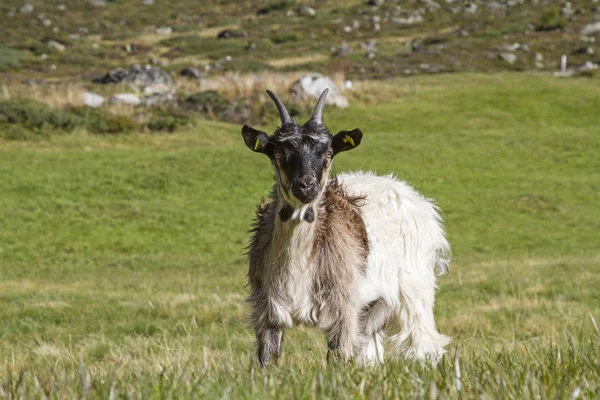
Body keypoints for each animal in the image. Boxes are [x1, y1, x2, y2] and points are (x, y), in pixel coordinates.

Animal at [241, 90, 448, 366]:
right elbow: (268, 359)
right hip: (373, 307)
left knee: (423, 342)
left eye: (328, 154)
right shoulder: (266, 310)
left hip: (415, 290)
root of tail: (421, 203)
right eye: (278, 155)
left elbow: (339, 357)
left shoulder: (344, 306)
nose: (306, 186)